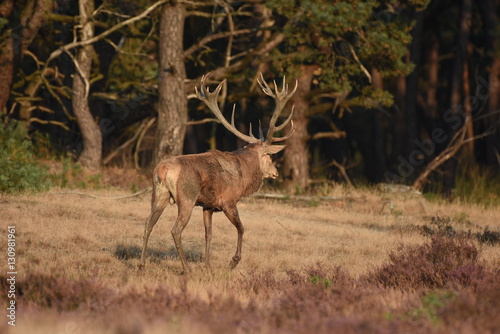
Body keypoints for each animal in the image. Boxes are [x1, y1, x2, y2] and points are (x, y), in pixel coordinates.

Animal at [139, 73, 296, 274]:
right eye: (269, 156)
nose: (275, 173)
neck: (244, 176)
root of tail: (163, 170)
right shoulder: (228, 201)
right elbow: (241, 228)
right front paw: (233, 261)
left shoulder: (208, 205)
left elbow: (209, 234)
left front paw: (208, 266)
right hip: (187, 197)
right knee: (175, 230)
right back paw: (187, 268)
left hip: (159, 194)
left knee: (147, 224)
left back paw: (142, 265)